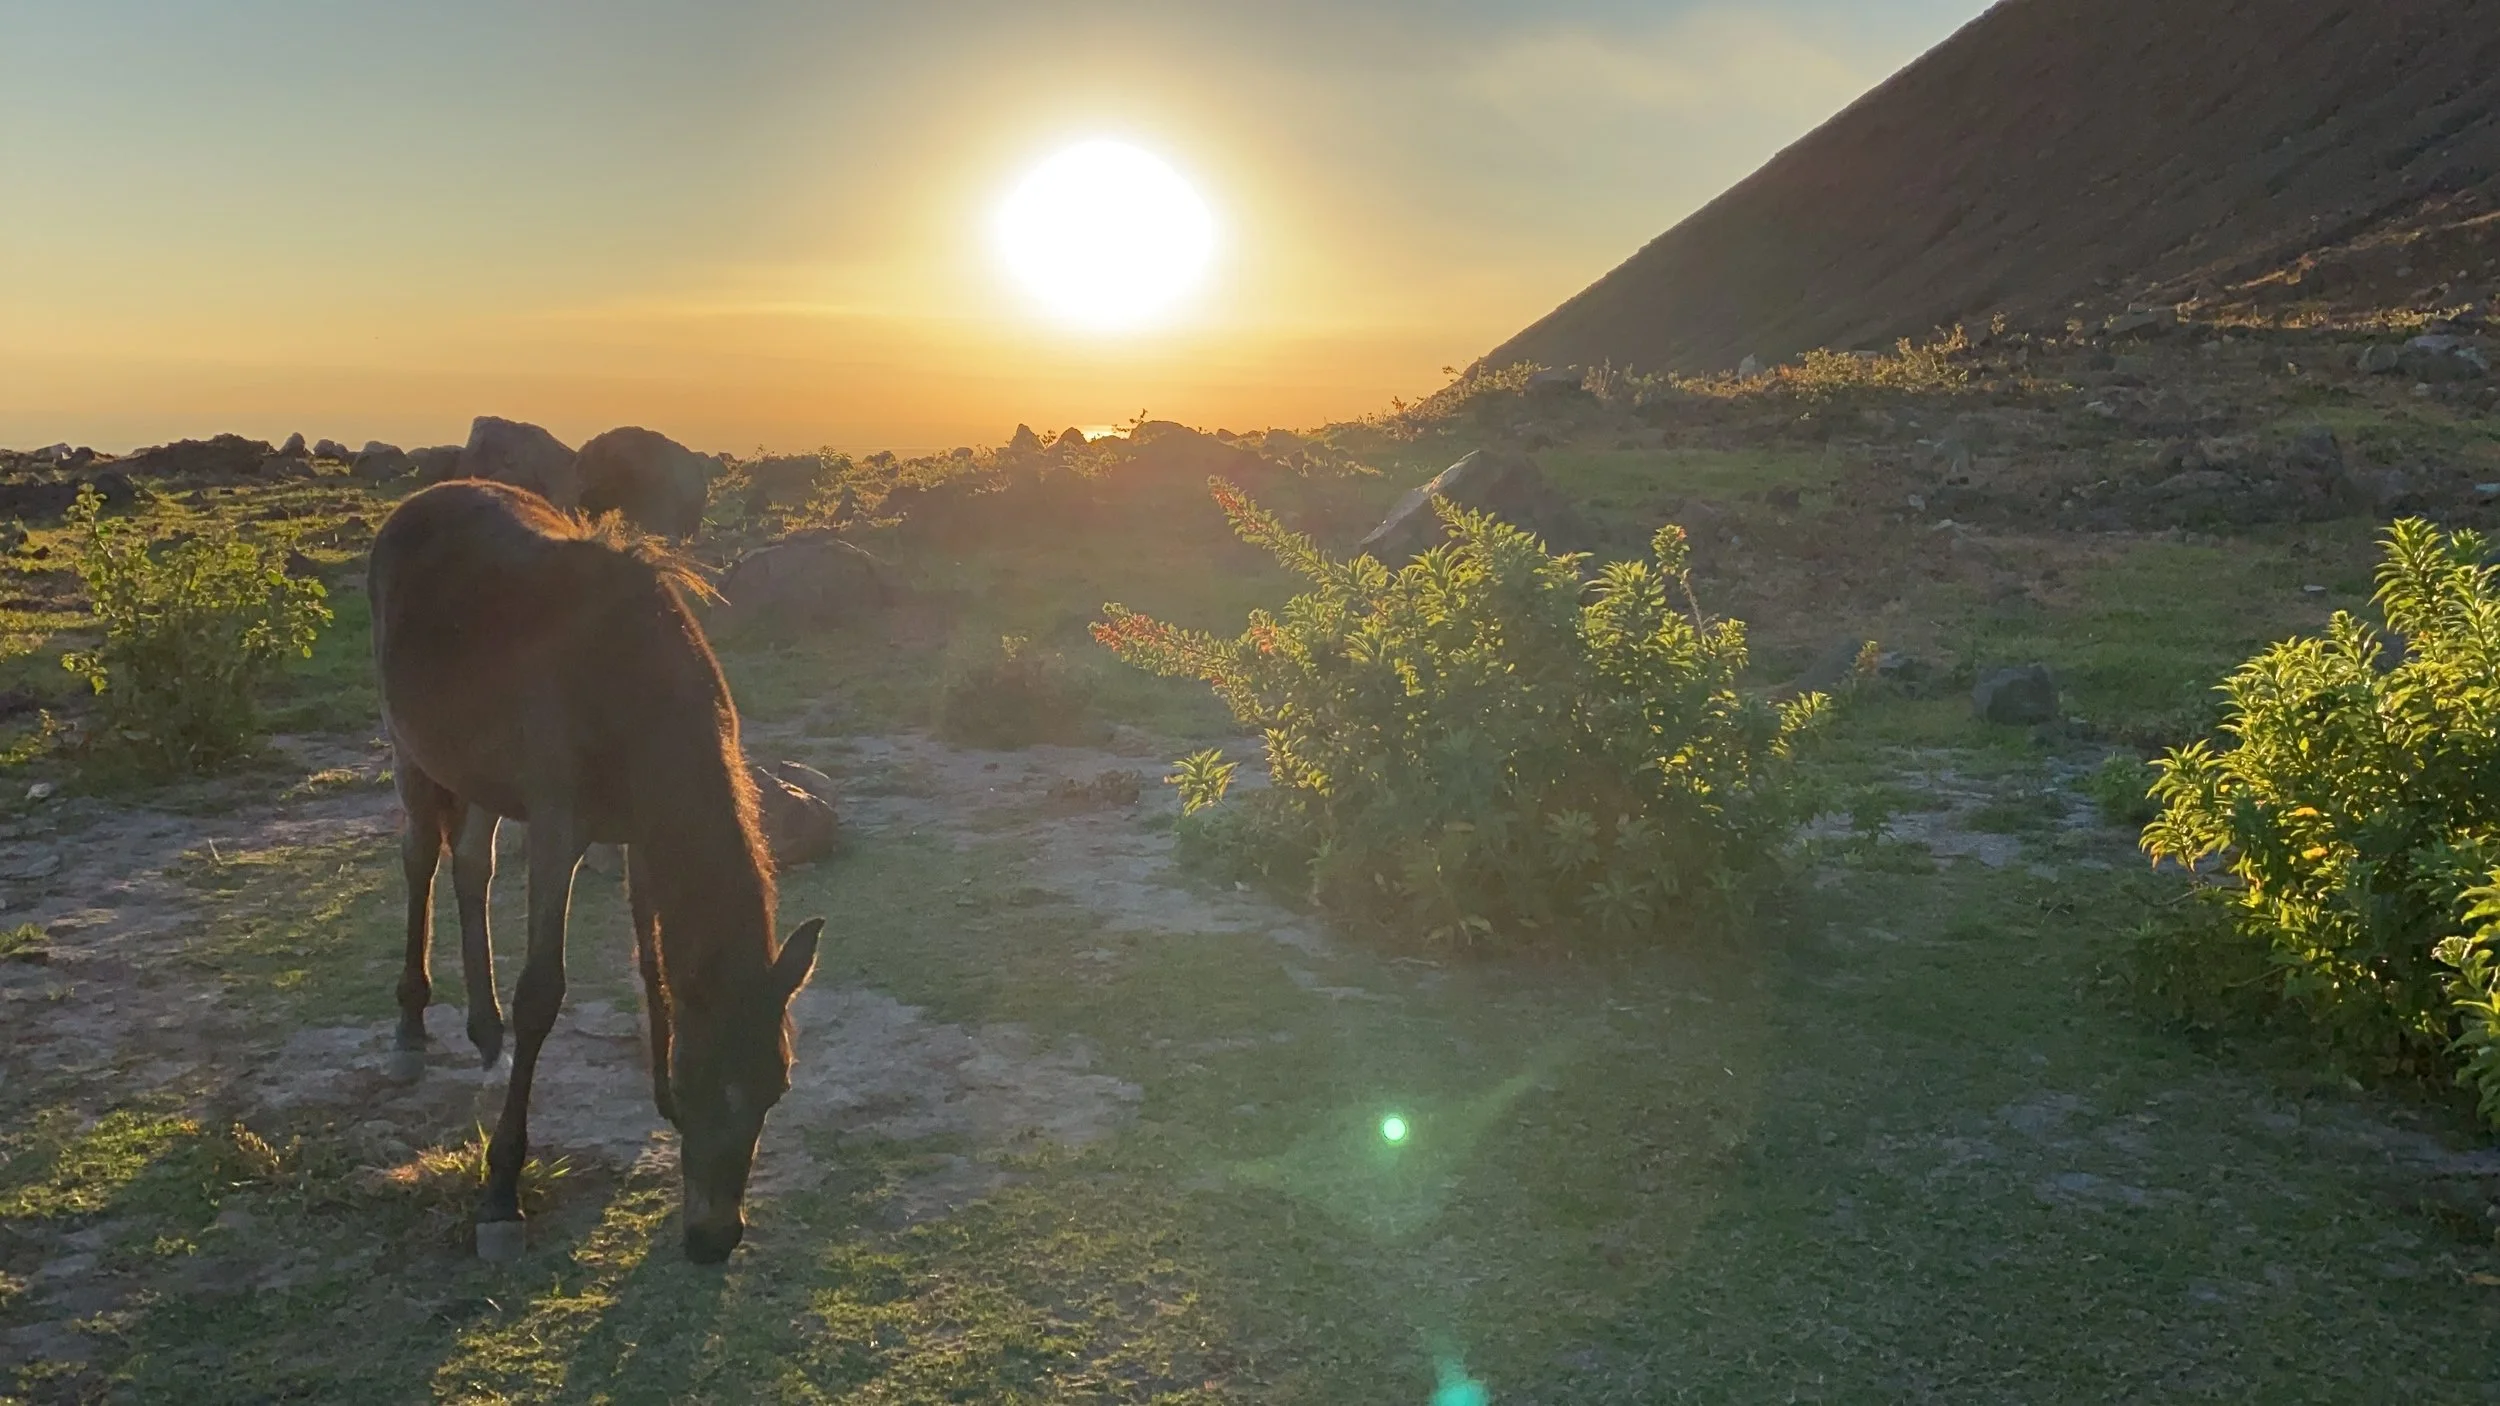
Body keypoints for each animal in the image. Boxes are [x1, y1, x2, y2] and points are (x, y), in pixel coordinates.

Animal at [367, 479, 823, 1264]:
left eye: (777, 1084)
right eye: (702, 1079)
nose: (714, 1238)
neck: (625, 688)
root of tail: (420, 501)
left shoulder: (640, 834)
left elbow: (653, 966)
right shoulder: (560, 831)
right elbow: (542, 995)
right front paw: (501, 1190)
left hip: (481, 773)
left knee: (472, 865)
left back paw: (483, 1030)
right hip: (413, 751)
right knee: (421, 859)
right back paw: (410, 1030)